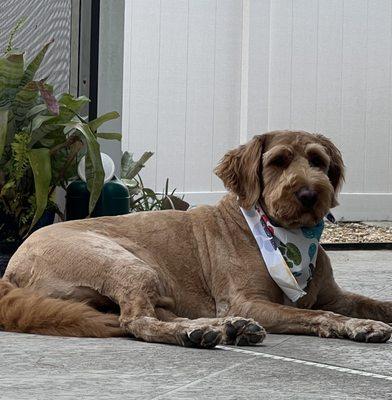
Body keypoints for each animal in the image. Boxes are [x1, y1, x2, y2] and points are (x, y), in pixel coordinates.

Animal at [0, 130, 392, 346]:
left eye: (317, 161)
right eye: (278, 161)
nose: (310, 194)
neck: (286, 235)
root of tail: (12, 268)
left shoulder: (334, 295)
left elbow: (370, 303)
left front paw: (370, 316)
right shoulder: (246, 301)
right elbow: (318, 314)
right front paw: (359, 326)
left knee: (156, 314)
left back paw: (223, 329)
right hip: (125, 262)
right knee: (136, 321)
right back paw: (201, 333)